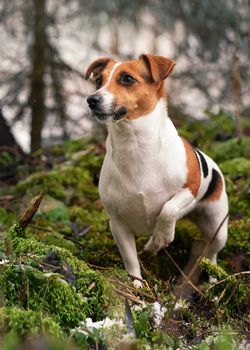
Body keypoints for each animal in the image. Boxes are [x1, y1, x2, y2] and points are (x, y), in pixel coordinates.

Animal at [85, 54, 229, 296]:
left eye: (127, 79)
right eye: (98, 81)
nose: (92, 99)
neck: (135, 144)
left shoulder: (190, 189)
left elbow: (167, 209)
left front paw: (162, 236)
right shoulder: (118, 224)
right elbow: (130, 258)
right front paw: (136, 282)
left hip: (217, 228)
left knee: (212, 254)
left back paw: (212, 277)